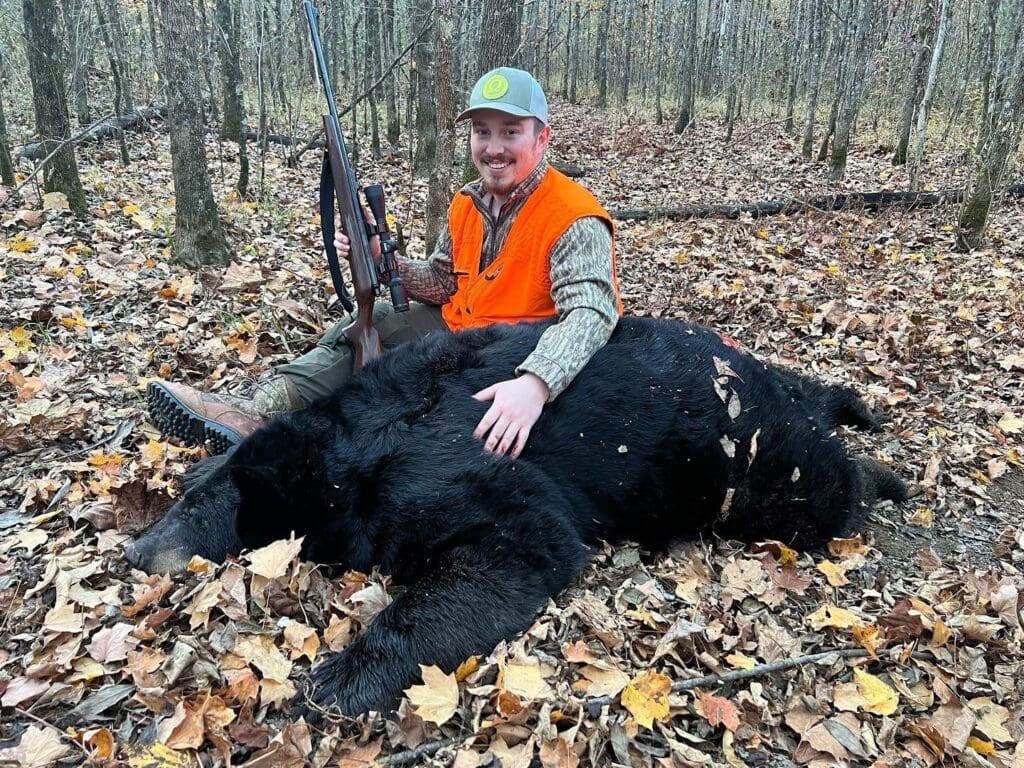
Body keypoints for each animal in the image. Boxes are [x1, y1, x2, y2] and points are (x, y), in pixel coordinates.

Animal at [125, 317, 906, 716]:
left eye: (201, 510)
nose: (134, 552)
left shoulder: (452, 472)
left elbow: (523, 544)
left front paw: (340, 679)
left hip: (750, 465)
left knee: (822, 484)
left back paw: (885, 474)